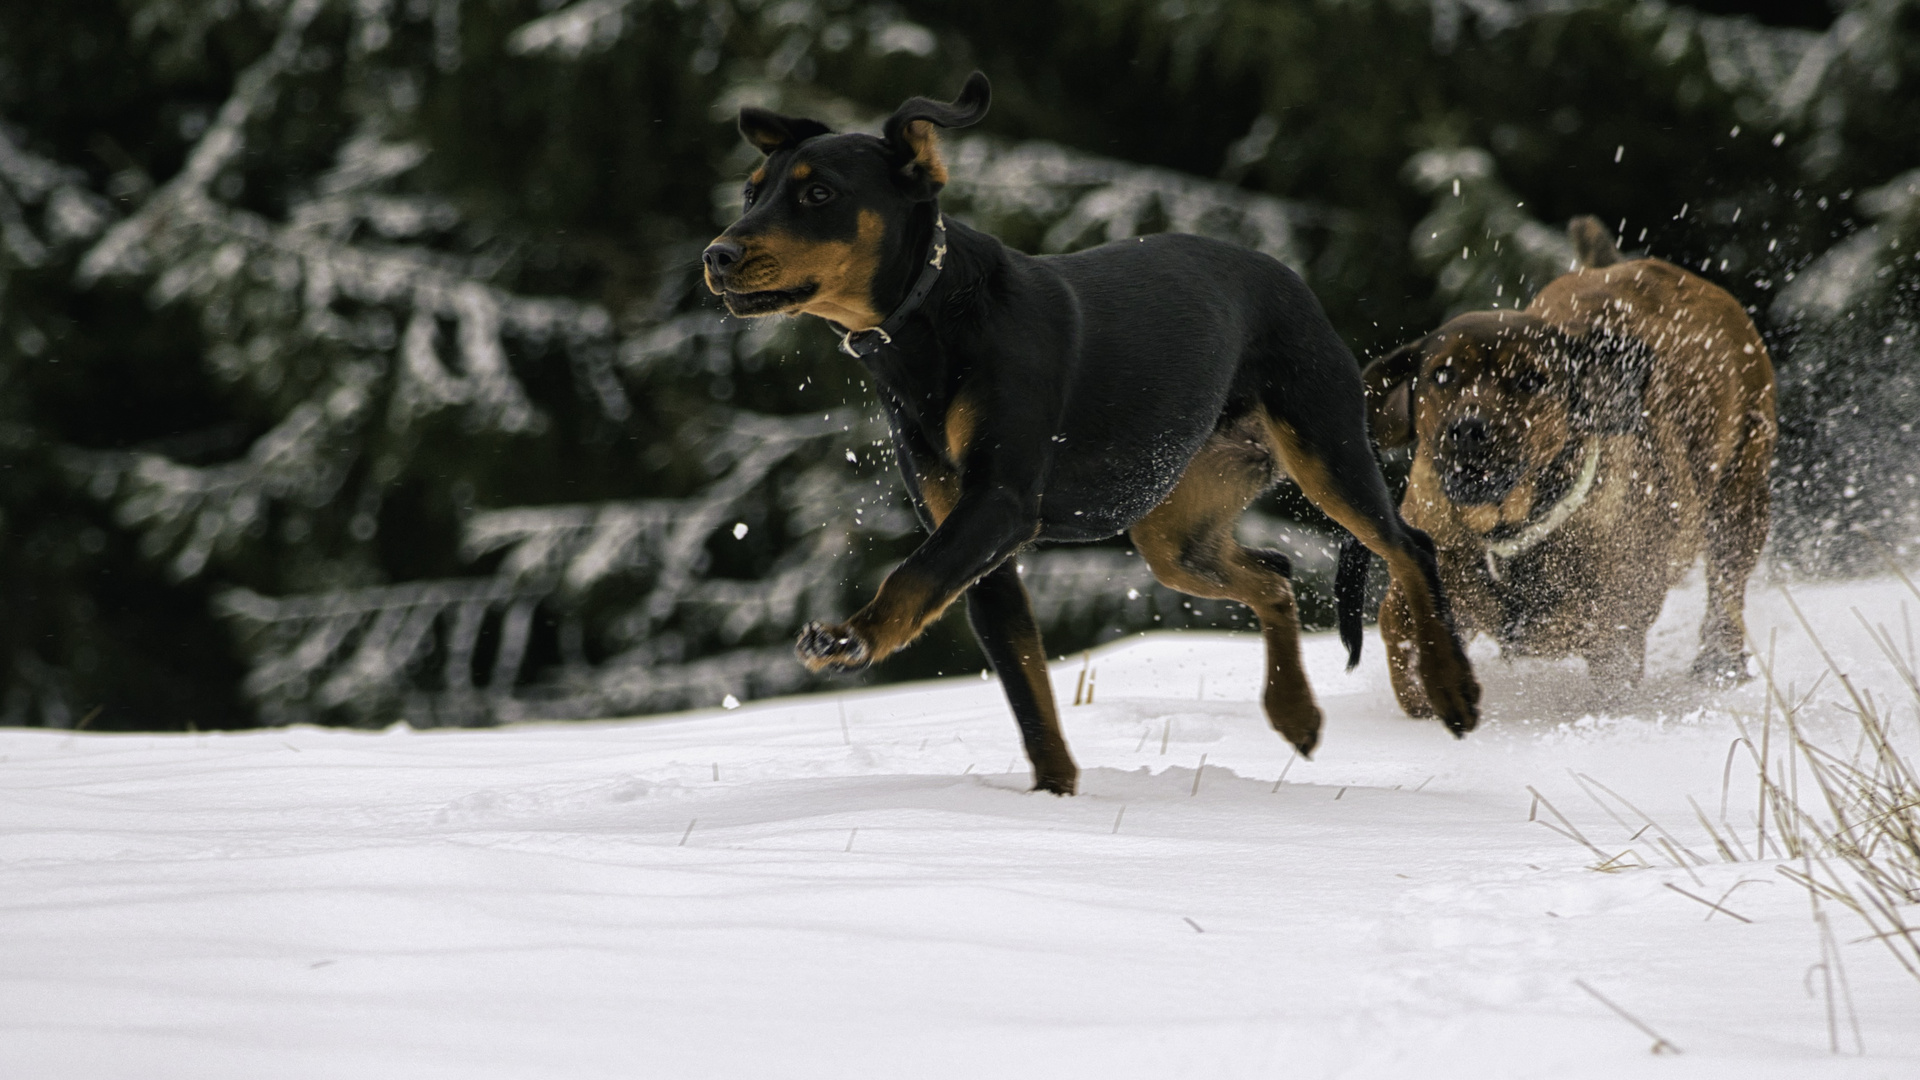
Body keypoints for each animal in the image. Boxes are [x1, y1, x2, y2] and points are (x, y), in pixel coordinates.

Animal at [706, 71, 1482, 787]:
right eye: (751, 194)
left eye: (818, 195)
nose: (716, 255)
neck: (930, 324)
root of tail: (1292, 281)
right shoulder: (977, 544)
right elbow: (1028, 694)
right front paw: (1056, 798)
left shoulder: (998, 505)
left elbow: (912, 576)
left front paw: (850, 639)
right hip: (1174, 528)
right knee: (1274, 575)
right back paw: (1294, 711)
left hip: (1324, 446)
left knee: (1409, 546)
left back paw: (1452, 688)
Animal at [1359, 214, 1774, 711]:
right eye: (1442, 374)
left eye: (1530, 379)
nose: (1469, 429)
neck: (1505, 527)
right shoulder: (1420, 579)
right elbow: (1404, 633)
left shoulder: (1615, 628)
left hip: (1742, 496)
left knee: (1726, 586)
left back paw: (1719, 662)